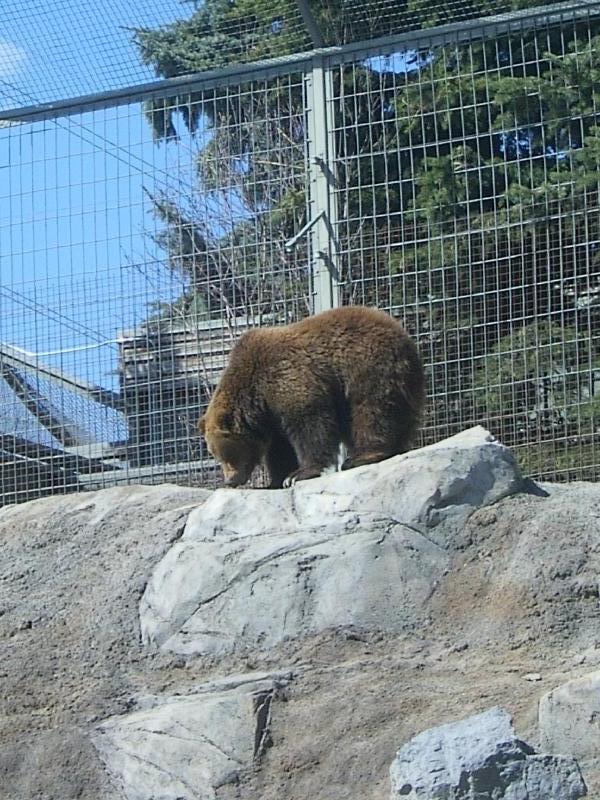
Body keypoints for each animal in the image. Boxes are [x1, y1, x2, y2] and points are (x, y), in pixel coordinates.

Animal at [200, 304, 426, 488]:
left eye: (226, 454)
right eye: (216, 455)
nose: (230, 480)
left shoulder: (287, 378)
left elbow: (311, 424)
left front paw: (298, 474)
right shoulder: (271, 414)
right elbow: (280, 447)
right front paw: (277, 480)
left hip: (367, 363)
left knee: (371, 410)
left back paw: (361, 456)